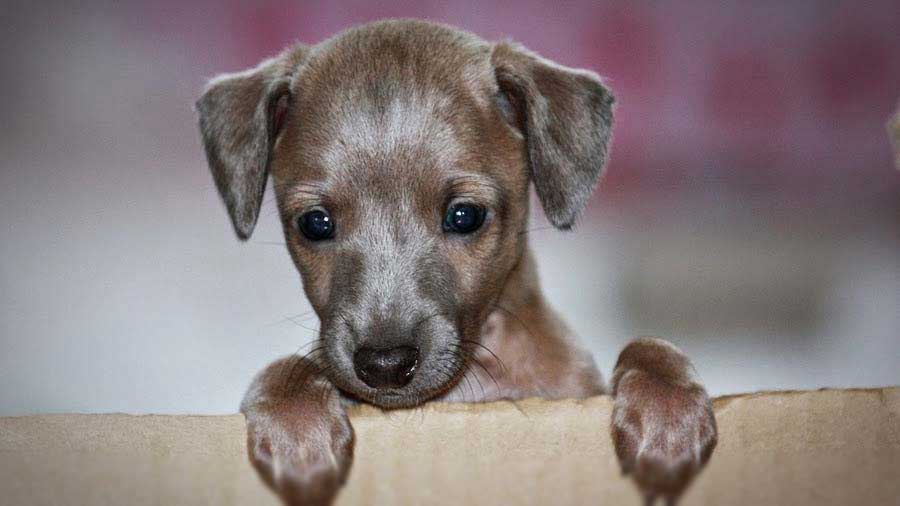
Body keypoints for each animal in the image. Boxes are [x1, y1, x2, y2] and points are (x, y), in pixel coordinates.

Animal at [197, 19, 716, 506]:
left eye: (464, 215)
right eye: (315, 223)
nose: (385, 364)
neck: (469, 389)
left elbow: (647, 345)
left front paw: (668, 413)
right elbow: (289, 367)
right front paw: (299, 431)